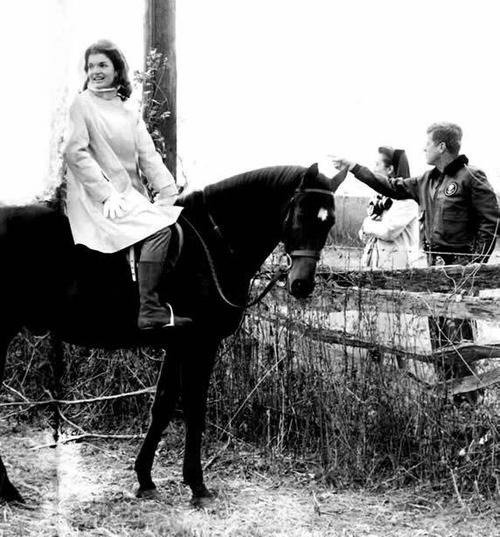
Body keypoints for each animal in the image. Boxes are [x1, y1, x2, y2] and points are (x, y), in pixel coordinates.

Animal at [0, 161, 346, 504]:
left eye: (329, 221)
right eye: (299, 214)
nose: (302, 285)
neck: (214, 242)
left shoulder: (177, 344)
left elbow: (163, 405)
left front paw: (145, 479)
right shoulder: (201, 344)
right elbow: (194, 408)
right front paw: (197, 485)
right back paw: (9, 489)